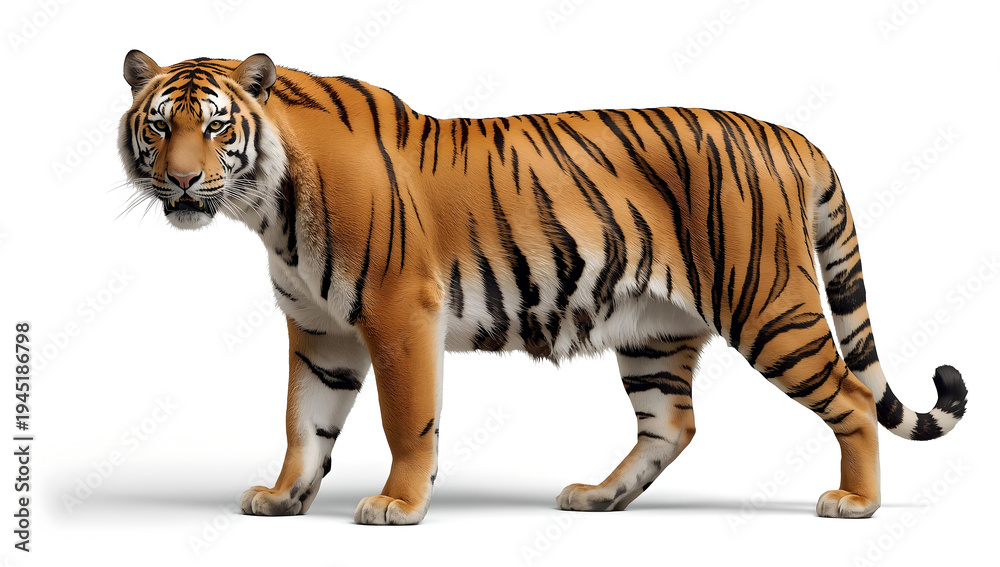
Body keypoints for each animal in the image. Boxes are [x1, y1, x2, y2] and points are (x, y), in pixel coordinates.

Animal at [117, 50, 968, 524]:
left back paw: (855, 503)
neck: (267, 204)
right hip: (655, 332)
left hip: (769, 305)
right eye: (159, 126)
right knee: (671, 425)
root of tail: (793, 136)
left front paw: (398, 504)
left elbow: (406, 420)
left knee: (850, 397)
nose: (183, 181)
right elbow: (305, 421)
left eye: (217, 126)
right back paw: (598, 496)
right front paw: (285, 497)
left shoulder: (398, 313)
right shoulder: (320, 329)